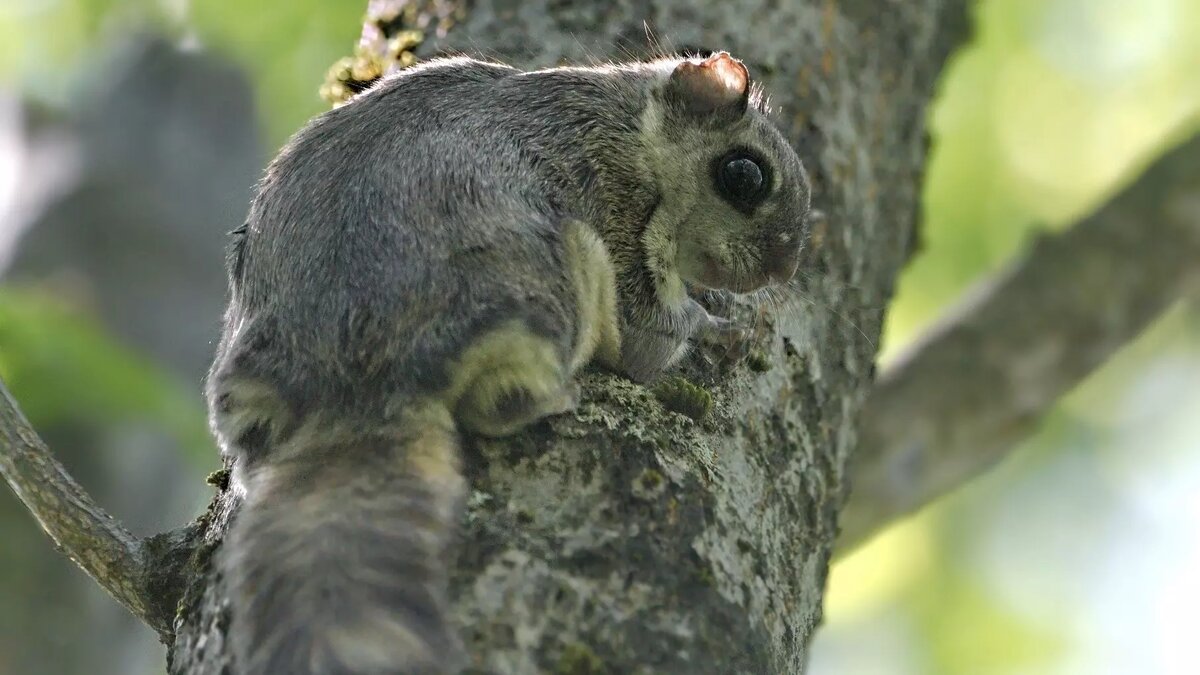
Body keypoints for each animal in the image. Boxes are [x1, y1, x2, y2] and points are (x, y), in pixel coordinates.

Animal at [206, 49, 811, 667]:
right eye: (745, 175)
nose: (782, 270)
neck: (632, 123)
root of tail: (357, 388)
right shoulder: (621, 218)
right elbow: (651, 340)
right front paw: (718, 327)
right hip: (558, 283)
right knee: (504, 399)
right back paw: (555, 396)